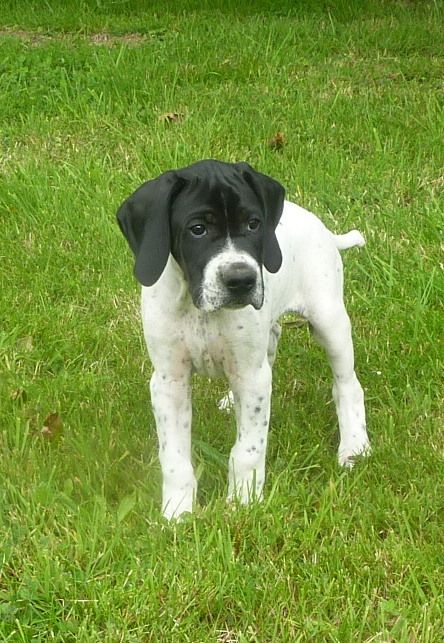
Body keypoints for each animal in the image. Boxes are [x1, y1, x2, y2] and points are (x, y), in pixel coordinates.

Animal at [117, 159, 370, 519]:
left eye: (253, 224)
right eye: (198, 229)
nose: (241, 280)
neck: (200, 310)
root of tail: (322, 229)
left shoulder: (252, 377)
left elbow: (248, 449)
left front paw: (243, 503)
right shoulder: (169, 380)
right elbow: (175, 458)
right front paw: (177, 512)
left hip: (329, 320)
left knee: (348, 385)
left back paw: (354, 446)